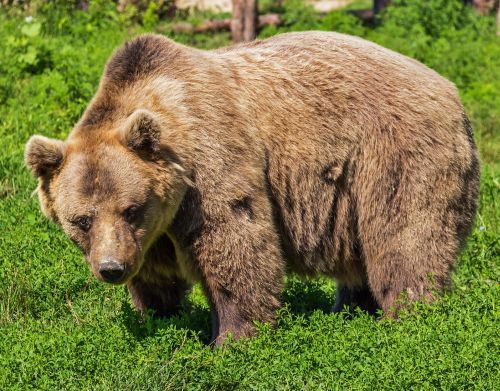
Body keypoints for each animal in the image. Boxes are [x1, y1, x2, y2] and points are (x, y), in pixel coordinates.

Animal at [25, 33, 478, 346]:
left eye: (130, 208)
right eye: (81, 220)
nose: (111, 269)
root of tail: (452, 91)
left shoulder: (211, 164)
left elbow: (235, 242)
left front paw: (232, 338)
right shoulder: (152, 231)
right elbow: (156, 275)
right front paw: (160, 317)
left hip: (394, 154)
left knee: (405, 239)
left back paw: (409, 317)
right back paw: (351, 309)